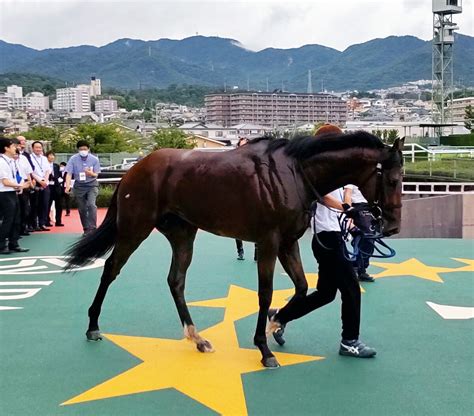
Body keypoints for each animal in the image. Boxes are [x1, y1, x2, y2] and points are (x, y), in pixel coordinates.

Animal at [65, 132, 404, 368]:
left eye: (401, 179)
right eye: (391, 179)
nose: (392, 227)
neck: (294, 174)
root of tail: (136, 169)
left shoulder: (288, 242)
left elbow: (300, 287)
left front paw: (276, 321)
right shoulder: (268, 241)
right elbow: (265, 292)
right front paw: (264, 348)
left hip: (182, 234)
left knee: (176, 281)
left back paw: (197, 338)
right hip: (135, 229)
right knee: (111, 269)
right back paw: (93, 326)